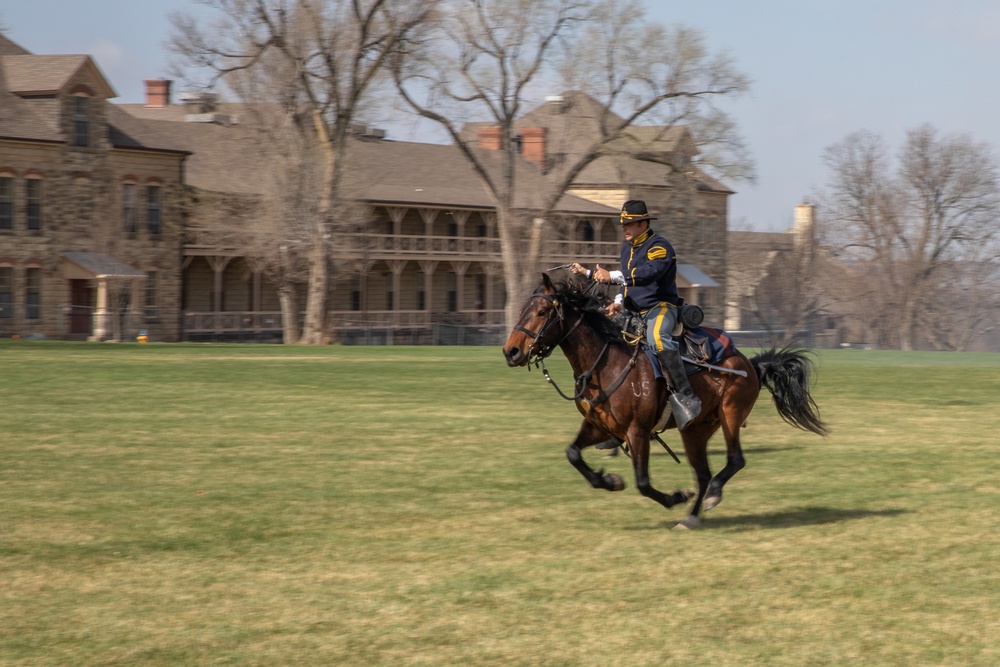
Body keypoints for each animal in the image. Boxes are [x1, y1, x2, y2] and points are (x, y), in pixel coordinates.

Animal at [500, 274, 828, 528]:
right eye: (524, 309)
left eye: (542, 311)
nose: (511, 351)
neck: (607, 363)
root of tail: (750, 364)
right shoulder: (599, 426)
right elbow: (573, 454)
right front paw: (610, 481)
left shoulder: (637, 431)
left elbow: (643, 483)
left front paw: (674, 497)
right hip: (694, 431)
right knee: (703, 473)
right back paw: (691, 518)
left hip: (730, 414)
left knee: (734, 460)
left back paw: (712, 495)